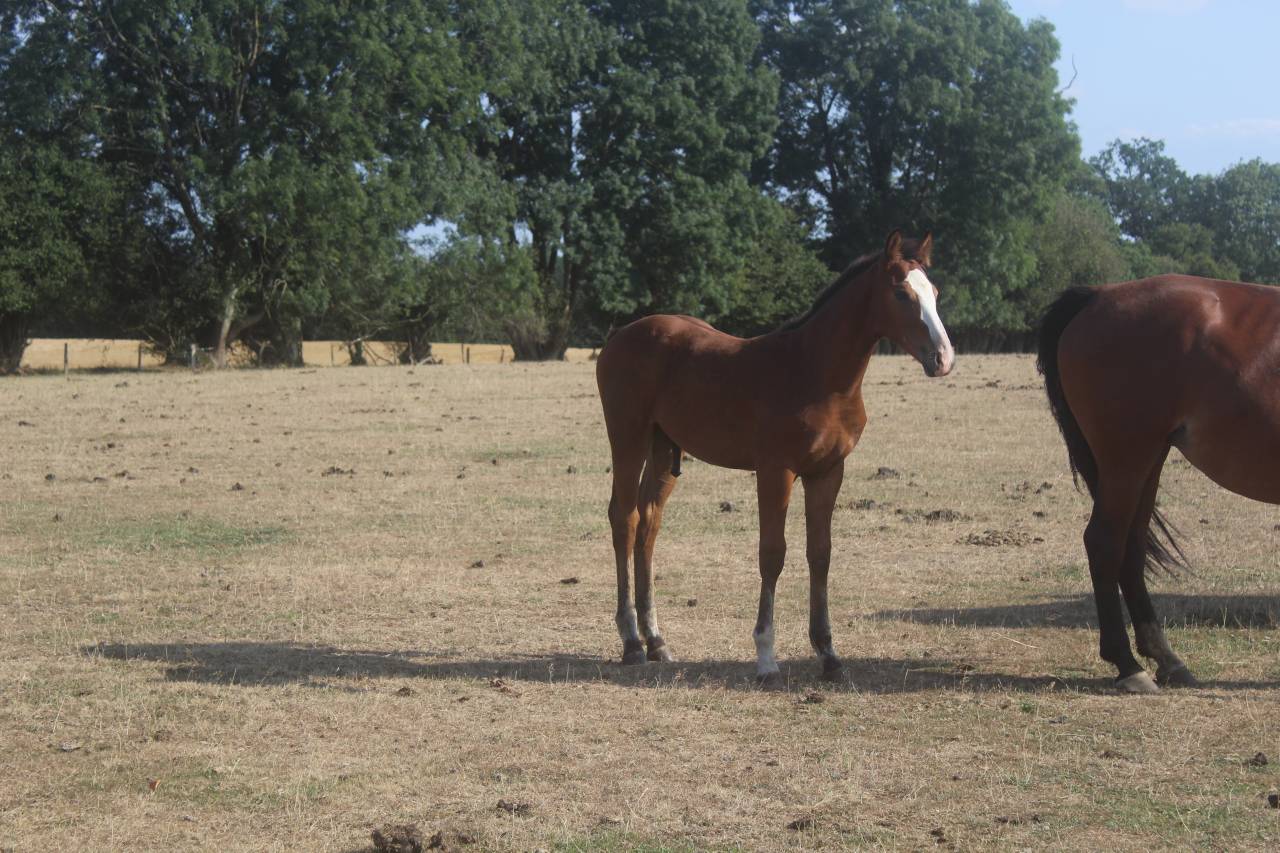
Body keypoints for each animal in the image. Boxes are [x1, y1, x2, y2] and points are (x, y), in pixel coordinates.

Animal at [595, 231, 955, 682]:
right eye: (901, 294)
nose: (943, 359)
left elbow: (820, 554)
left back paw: (656, 640)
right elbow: (773, 554)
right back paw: (631, 641)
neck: (813, 373)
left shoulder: (827, 472)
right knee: (624, 520)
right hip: (629, 438)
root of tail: (619, 335)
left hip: (664, 450)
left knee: (649, 523)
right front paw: (766, 655)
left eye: (935, 293)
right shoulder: (776, 471)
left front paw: (829, 654)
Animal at [1038, 275, 1280, 694]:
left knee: (1131, 546)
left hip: (1149, 459)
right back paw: (1127, 664)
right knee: (1105, 542)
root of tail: (1098, 296)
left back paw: (1165, 658)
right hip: (1128, 457)